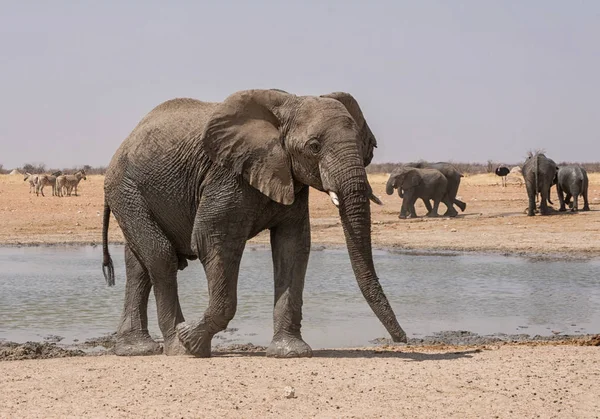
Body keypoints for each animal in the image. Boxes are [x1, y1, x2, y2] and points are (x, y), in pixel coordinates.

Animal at [102, 88, 408, 358]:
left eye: (364, 145)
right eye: (314, 147)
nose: (402, 339)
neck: (287, 107)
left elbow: (292, 246)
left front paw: (290, 352)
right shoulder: (227, 175)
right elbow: (213, 240)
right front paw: (190, 342)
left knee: (138, 264)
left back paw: (137, 349)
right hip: (126, 189)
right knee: (161, 257)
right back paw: (176, 348)